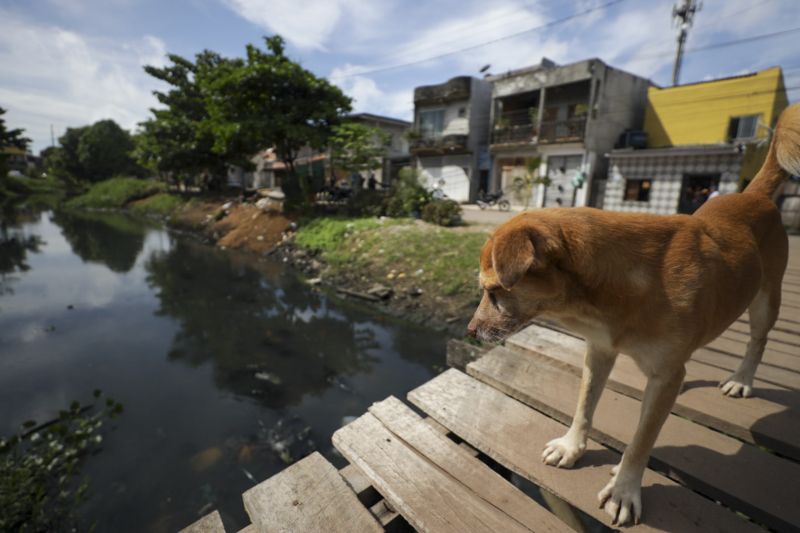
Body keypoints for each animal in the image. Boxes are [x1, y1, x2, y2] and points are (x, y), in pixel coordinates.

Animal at [468, 103, 800, 524]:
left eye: (493, 292)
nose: (470, 331)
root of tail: (754, 195)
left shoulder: (661, 379)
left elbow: (642, 440)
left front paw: (625, 488)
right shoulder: (599, 351)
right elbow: (584, 407)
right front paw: (572, 446)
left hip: (765, 299)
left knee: (757, 341)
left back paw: (742, 379)